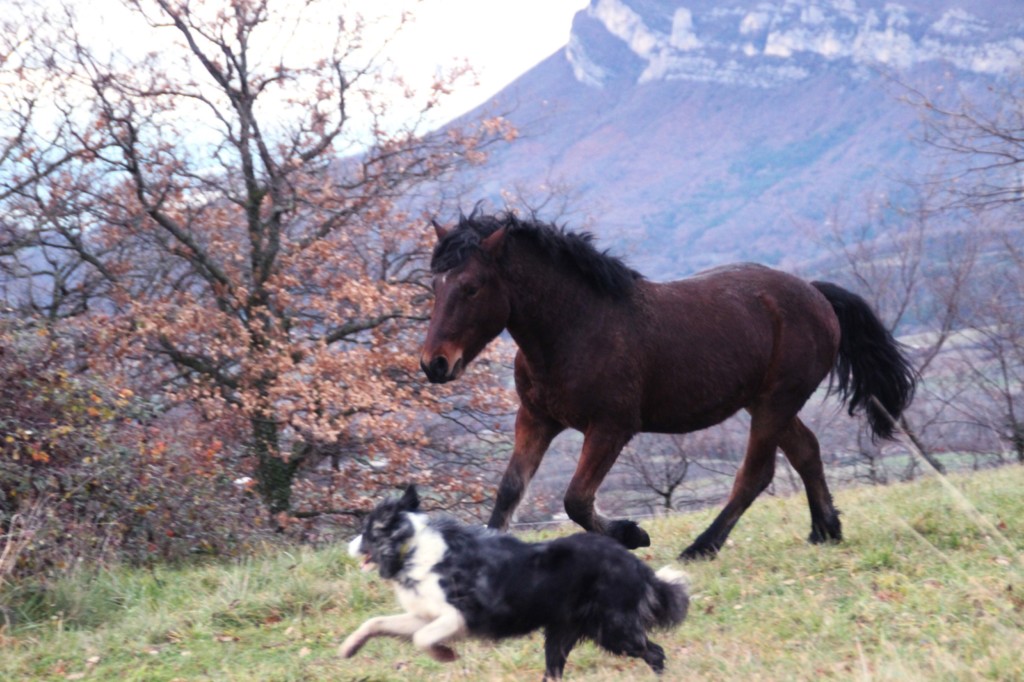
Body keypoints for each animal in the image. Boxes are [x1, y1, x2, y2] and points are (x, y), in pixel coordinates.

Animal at [419, 211, 916, 560]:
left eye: (471, 287)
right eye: (435, 285)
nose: (434, 364)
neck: (575, 328)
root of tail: (816, 294)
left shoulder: (611, 428)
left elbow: (576, 499)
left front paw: (632, 534)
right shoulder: (535, 420)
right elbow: (509, 491)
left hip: (776, 402)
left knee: (756, 474)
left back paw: (702, 546)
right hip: (767, 404)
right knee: (806, 451)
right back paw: (825, 530)